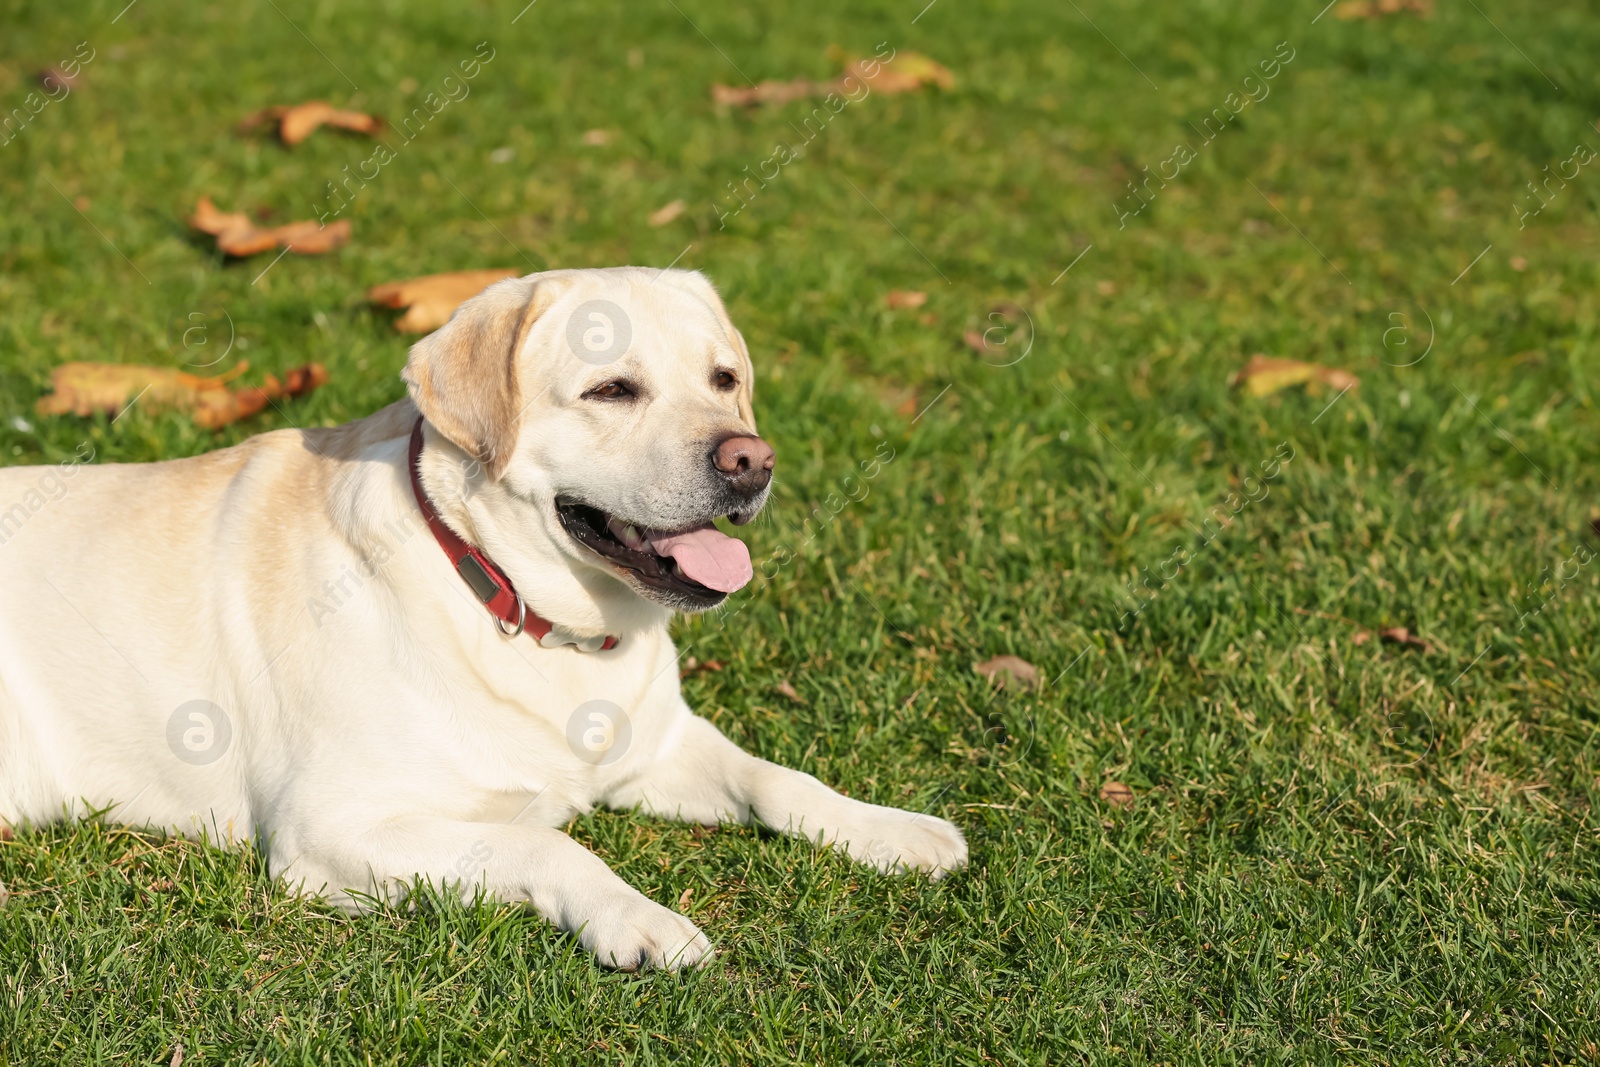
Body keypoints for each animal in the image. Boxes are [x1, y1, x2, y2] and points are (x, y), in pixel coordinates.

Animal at [0, 268, 960, 979]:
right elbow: (549, 846)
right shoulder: (332, 830)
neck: (522, 608)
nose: (750, 459)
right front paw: (640, 918)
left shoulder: (656, 748)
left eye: (724, 379)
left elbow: (780, 781)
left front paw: (892, 830)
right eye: (612, 389)